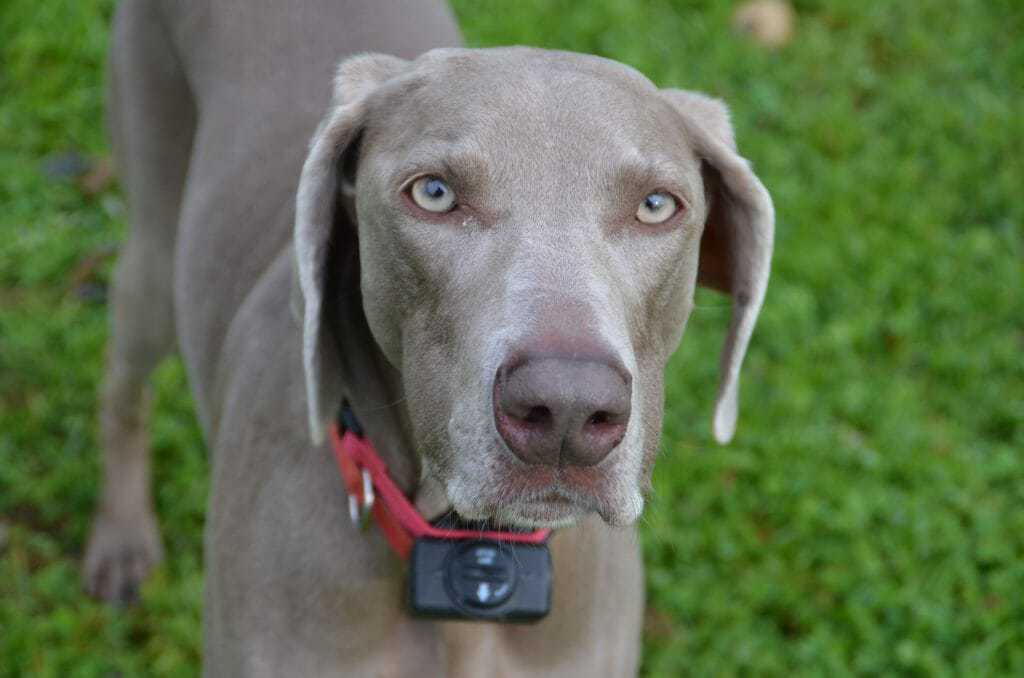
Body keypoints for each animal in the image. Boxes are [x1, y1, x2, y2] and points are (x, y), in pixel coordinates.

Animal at [83, 0, 770, 675]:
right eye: (434, 193)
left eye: (657, 205)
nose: (567, 411)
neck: (469, 559)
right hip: (153, 252)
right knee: (122, 387)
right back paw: (122, 540)